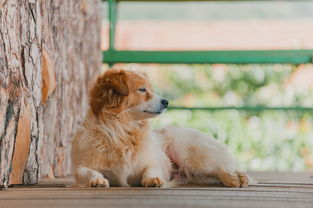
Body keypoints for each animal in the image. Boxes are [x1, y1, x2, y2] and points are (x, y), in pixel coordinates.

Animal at [70, 69, 249, 188]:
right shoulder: (81, 167)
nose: (166, 101)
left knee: (218, 168)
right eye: (142, 90)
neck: (122, 130)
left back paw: (235, 178)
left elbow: (151, 170)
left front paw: (152, 180)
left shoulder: (151, 162)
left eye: (152, 90)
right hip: (195, 174)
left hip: (190, 158)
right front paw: (97, 179)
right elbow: (87, 172)